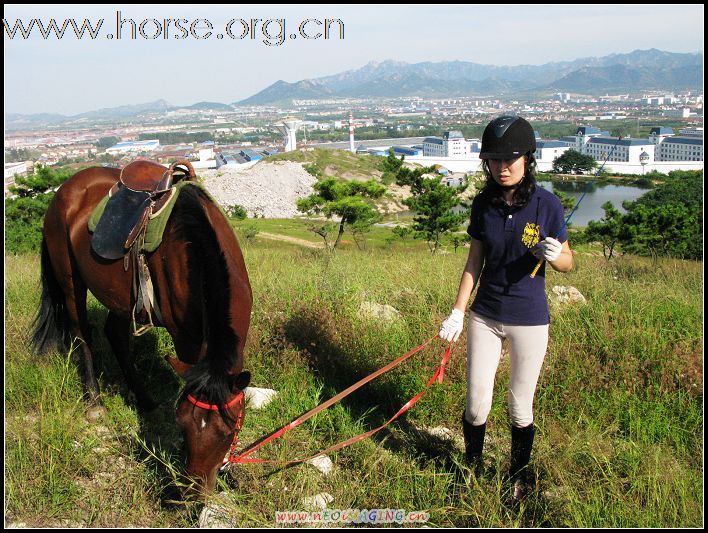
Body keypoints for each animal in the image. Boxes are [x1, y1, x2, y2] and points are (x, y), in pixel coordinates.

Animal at [33, 162, 256, 494]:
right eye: (182, 424)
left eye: (229, 432)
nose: (193, 490)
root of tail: (66, 188)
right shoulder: (186, 341)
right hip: (71, 285)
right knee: (82, 335)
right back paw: (95, 402)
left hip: (120, 297)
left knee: (115, 335)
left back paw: (145, 398)